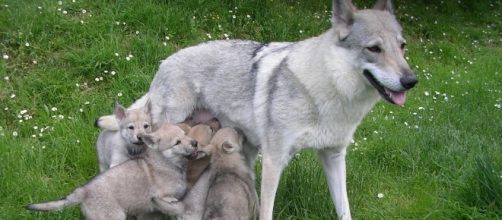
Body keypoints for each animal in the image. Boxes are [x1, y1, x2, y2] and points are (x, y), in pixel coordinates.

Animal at [26, 123, 198, 219]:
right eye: (177, 142)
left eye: (185, 135)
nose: (195, 143)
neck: (167, 162)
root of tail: (84, 191)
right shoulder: (167, 199)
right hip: (114, 216)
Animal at [96, 0, 418, 218]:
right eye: (374, 49)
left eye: (402, 47)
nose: (411, 80)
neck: (329, 91)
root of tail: (165, 61)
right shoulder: (275, 160)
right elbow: (267, 210)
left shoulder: (334, 157)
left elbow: (345, 209)